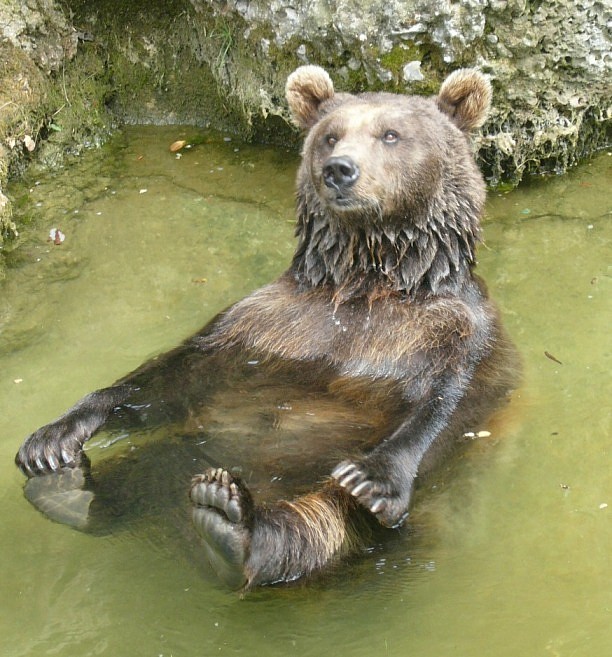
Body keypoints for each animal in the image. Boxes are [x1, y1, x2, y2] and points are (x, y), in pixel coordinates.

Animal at [14, 65, 520, 588]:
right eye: (330, 135)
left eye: (391, 134)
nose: (339, 169)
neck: (368, 279)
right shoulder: (271, 323)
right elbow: (178, 373)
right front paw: (54, 436)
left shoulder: (455, 336)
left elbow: (450, 407)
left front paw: (374, 477)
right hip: (195, 446)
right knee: (155, 462)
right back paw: (70, 489)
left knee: (326, 521)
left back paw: (232, 525)